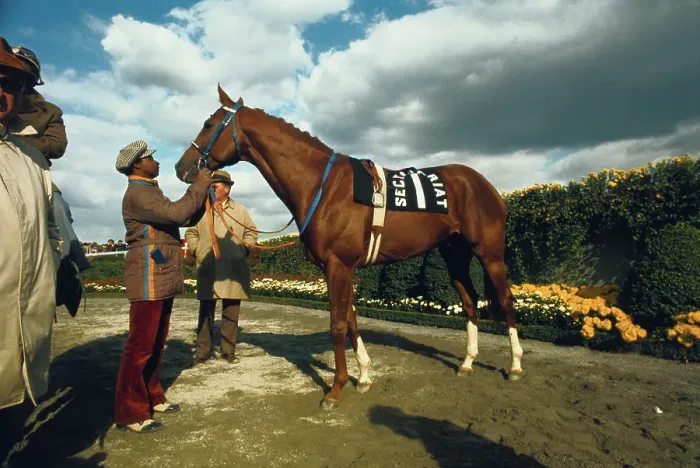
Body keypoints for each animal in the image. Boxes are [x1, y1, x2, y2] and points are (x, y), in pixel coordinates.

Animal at [175, 85, 524, 409]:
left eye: (208, 123)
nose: (181, 166)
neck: (324, 186)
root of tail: (484, 184)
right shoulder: (340, 267)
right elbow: (352, 319)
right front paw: (364, 376)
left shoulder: (338, 265)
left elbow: (338, 324)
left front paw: (335, 389)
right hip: (454, 253)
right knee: (469, 301)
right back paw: (466, 362)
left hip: (490, 253)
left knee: (506, 300)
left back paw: (516, 366)